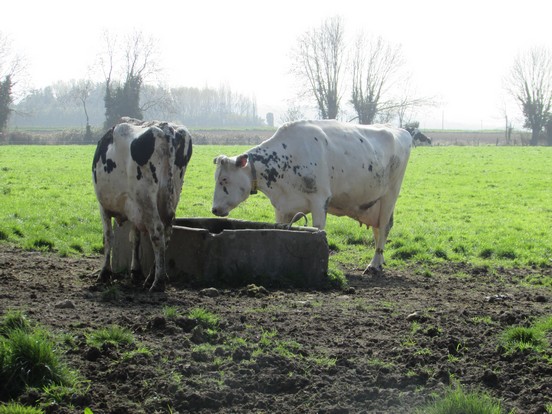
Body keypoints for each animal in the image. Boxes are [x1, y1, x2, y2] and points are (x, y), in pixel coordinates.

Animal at [92, 116, 192, 292]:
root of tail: (167, 130)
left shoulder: (103, 206)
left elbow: (108, 236)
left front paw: (105, 272)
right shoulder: (133, 209)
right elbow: (135, 238)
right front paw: (135, 271)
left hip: (146, 198)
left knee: (157, 232)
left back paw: (158, 281)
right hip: (172, 195)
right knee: (166, 233)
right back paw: (154, 275)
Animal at [213, 119, 412, 274]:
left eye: (224, 179)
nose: (214, 209)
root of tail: (401, 131)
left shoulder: (319, 199)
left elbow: (318, 229)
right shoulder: (282, 206)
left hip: (390, 195)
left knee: (384, 228)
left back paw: (374, 264)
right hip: (374, 203)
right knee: (378, 231)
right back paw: (380, 261)